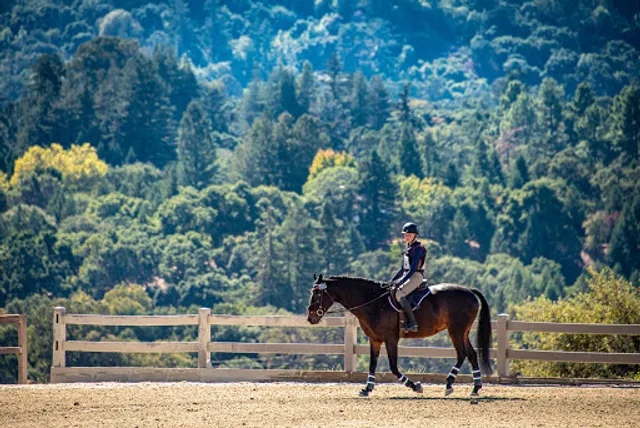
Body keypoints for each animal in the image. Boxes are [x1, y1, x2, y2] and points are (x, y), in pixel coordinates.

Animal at [307, 274, 492, 398]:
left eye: (317, 294)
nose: (310, 317)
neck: (374, 302)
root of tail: (469, 291)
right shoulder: (375, 340)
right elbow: (372, 364)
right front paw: (367, 389)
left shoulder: (391, 339)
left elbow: (393, 367)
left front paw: (415, 386)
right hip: (463, 331)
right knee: (471, 354)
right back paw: (475, 388)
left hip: (456, 331)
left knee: (462, 354)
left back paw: (448, 384)